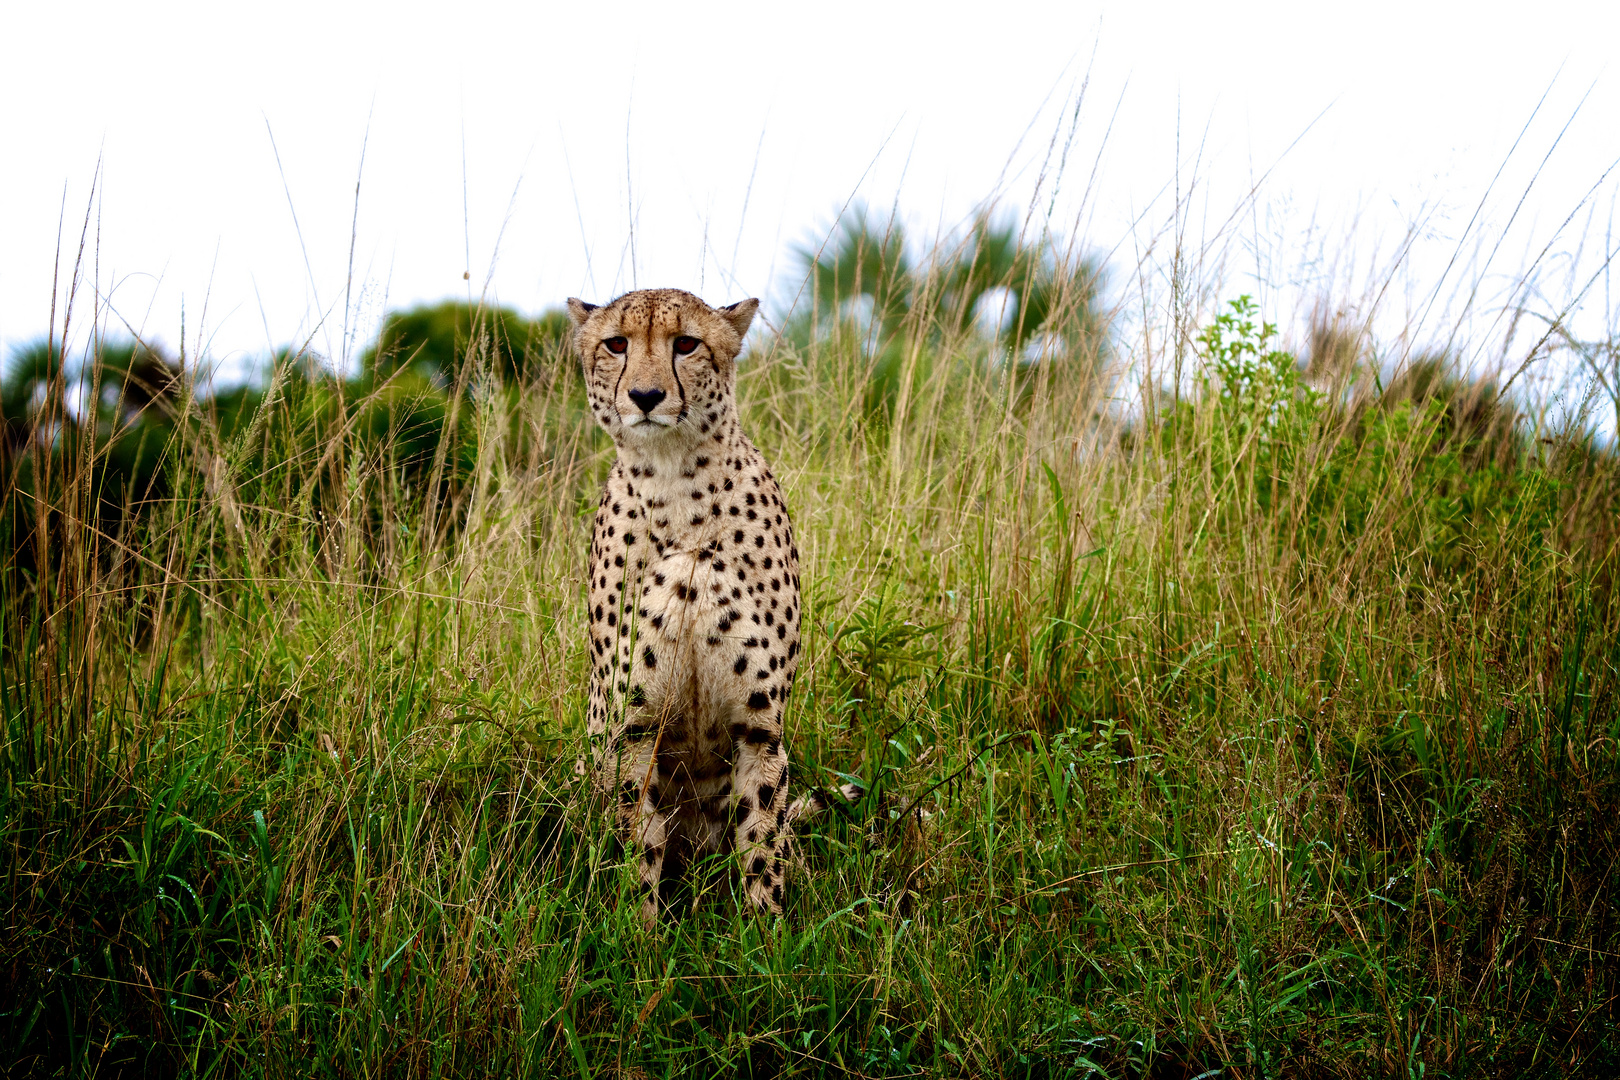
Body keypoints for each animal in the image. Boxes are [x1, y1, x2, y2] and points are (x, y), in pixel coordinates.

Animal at [567, 291, 855, 926]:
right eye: (616, 344)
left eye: (686, 344)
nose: (645, 396)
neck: (676, 483)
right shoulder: (631, 731)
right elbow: (638, 847)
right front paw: (638, 936)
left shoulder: (759, 727)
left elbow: (762, 842)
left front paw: (767, 934)